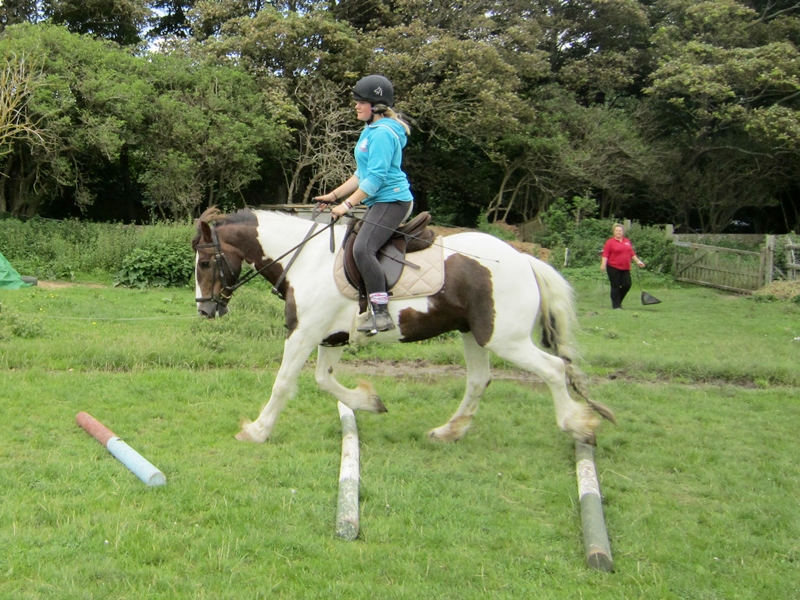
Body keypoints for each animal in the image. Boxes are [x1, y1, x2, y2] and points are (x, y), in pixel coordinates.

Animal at [192, 207, 615, 445]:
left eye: (206, 263)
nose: (206, 310)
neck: (306, 258)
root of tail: (525, 259)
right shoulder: (331, 336)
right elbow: (324, 381)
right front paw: (369, 401)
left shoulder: (305, 333)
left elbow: (283, 383)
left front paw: (257, 431)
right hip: (473, 334)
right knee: (479, 380)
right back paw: (448, 432)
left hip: (504, 338)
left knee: (554, 369)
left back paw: (578, 425)